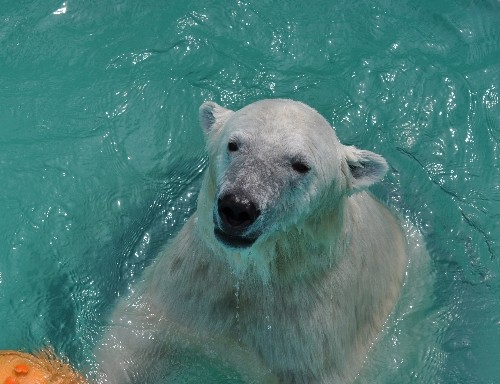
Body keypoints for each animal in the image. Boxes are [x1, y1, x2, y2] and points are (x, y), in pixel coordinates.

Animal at [95, 100, 408, 384]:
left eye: (301, 165)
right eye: (234, 145)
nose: (237, 207)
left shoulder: (312, 334)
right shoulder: (195, 280)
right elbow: (135, 335)